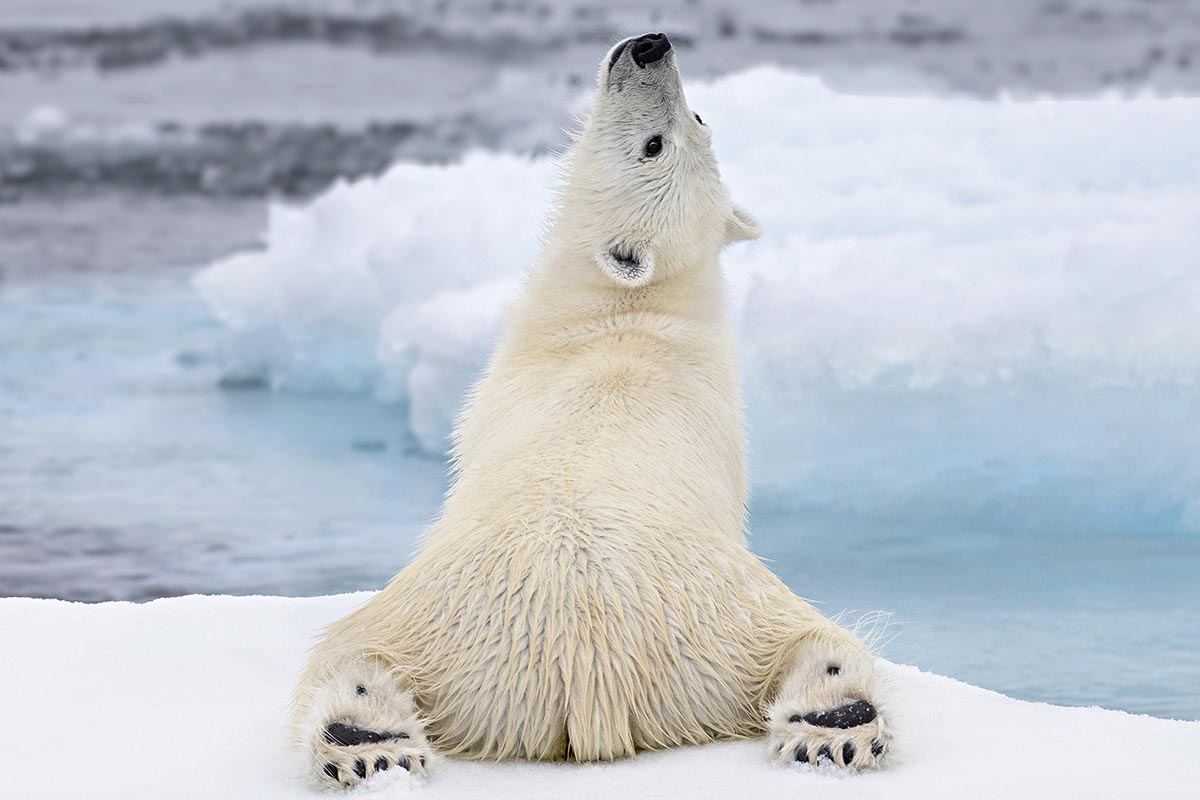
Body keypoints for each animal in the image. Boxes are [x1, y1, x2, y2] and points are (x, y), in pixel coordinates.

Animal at [290, 32, 892, 786]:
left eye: (659, 142)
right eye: (690, 124)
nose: (650, 45)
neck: (627, 312)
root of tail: (587, 656)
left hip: (463, 615)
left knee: (350, 653)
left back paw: (364, 740)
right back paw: (833, 727)